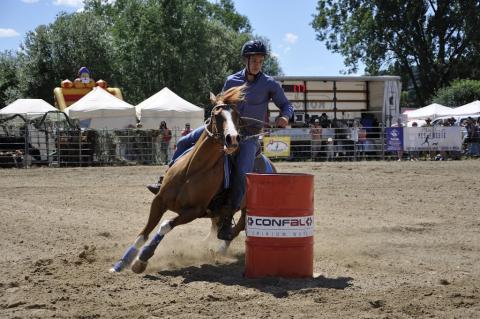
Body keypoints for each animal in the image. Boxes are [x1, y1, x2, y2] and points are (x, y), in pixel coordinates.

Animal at [109, 85, 274, 276]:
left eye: (237, 116)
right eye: (216, 115)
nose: (232, 139)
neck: (192, 171)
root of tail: (270, 165)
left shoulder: (194, 211)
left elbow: (164, 226)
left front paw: (142, 259)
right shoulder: (159, 201)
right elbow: (144, 233)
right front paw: (123, 262)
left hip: (246, 209)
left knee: (235, 228)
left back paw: (219, 248)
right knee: (218, 226)